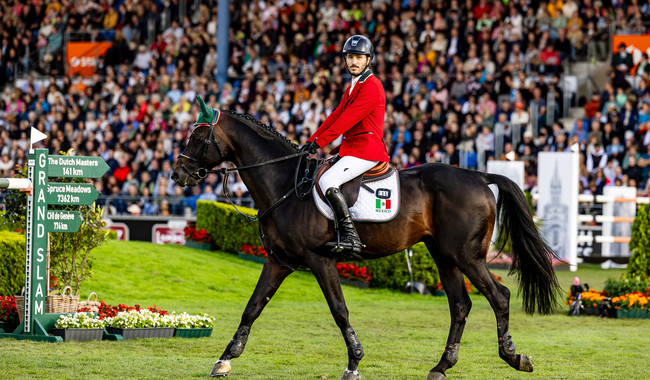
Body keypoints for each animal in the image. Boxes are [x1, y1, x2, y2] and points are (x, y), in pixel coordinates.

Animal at [172, 98, 560, 380]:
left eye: (198, 138)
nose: (177, 174)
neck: (286, 185)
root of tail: (479, 175)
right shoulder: (279, 261)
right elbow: (252, 307)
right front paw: (225, 359)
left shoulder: (320, 260)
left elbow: (339, 310)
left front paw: (354, 362)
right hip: (443, 255)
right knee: (460, 304)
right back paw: (441, 366)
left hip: (467, 256)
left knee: (499, 296)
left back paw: (513, 356)